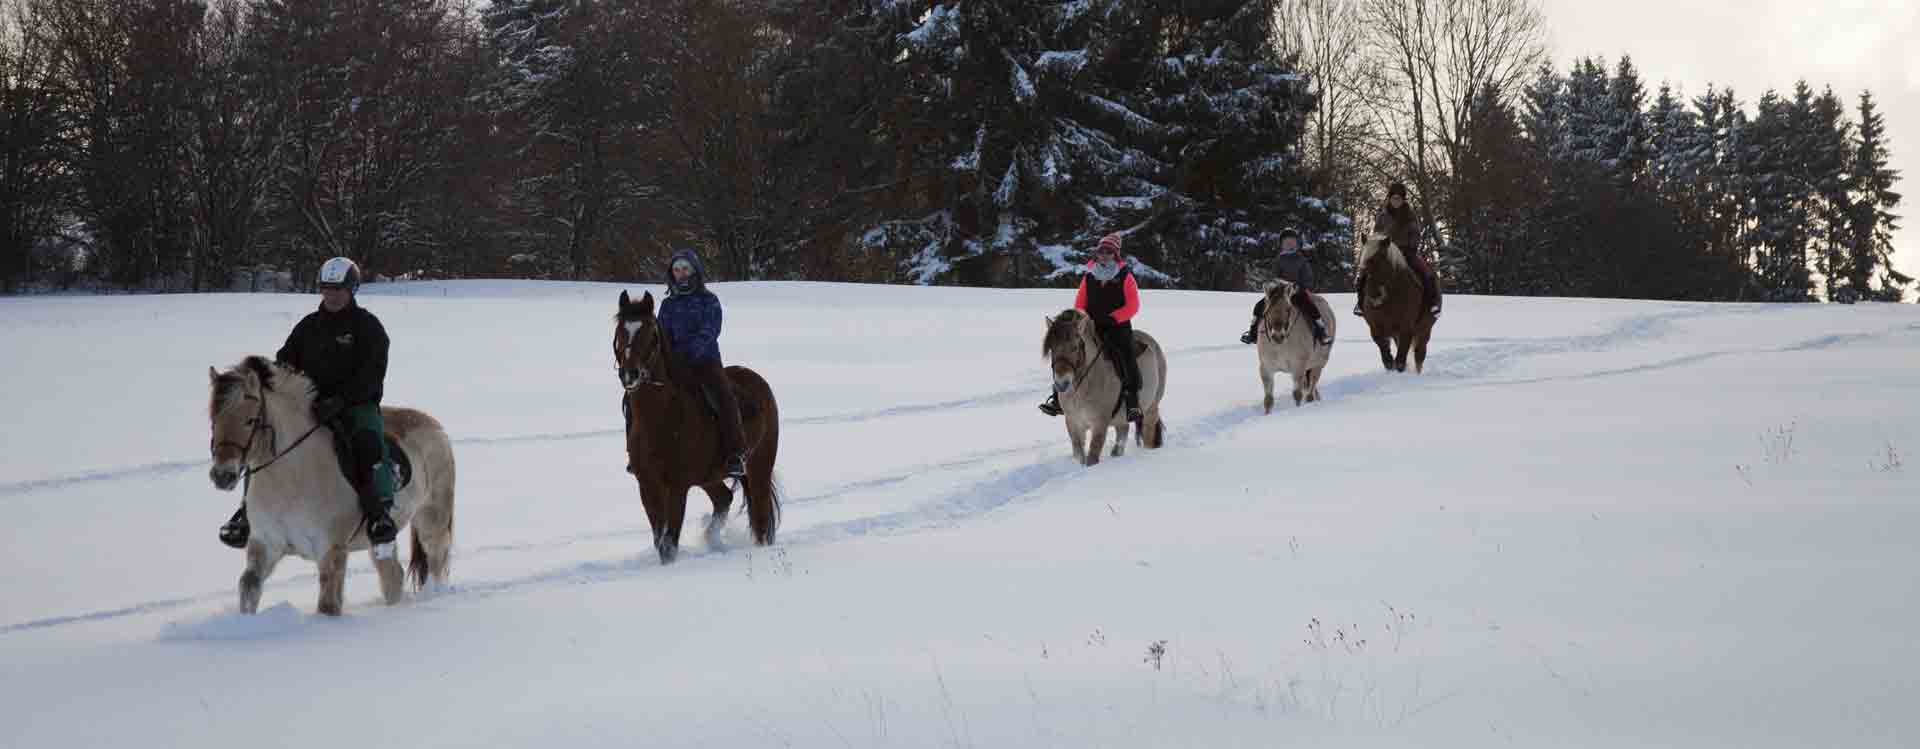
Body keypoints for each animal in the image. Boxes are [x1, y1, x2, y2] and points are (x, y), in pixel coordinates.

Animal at [207, 359, 456, 618]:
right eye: (213, 419)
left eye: (250, 420)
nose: (222, 475)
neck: (292, 476)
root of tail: (435, 426)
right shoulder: (265, 544)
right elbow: (249, 585)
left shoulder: (331, 548)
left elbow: (328, 605)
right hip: (383, 537)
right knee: (392, 575)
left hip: (431, 518)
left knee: (437, 558)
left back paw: (435, 596)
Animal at [606, 289, 771, 564]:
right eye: (620, 332)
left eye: (652, 335)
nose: (630, 374)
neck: (659, 416)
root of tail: (758, 380)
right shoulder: (647, 485)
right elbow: (660, 541)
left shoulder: (677, 486)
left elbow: (669, 543)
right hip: (709, 476)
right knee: (724, 499)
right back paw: (713, 540)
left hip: (759, 467)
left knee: (761, 516)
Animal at [1052, 309, 1167, 462]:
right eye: (1051, 348)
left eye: (1075, 347)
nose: (1061, 383)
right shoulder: (1073, 423)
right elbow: (1079, 455)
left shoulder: (1099, 424)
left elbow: (1092, 458)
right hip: (1122, 418)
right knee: (1122, 435)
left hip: (1151, 408)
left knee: (1148, 433)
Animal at [1259, 278, 1336, 412]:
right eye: (1268, 309)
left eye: (1288, 309)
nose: (1277, 335)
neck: (1281, 346)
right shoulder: (1266, 368)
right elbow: (1268, 400)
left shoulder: (1298, 367)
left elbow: (1297, 394)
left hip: (1318, 365)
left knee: (1310, 392)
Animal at [1351, 234, 1443, 374]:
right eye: (1362, 253)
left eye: (1378, 256)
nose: (1358, 279)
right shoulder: (1375, 327)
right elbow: (1385, 352)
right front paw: (1389, 364)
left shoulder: (1406, 328)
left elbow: (1401, 359)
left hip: (1425, 329)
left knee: (1419, 354)